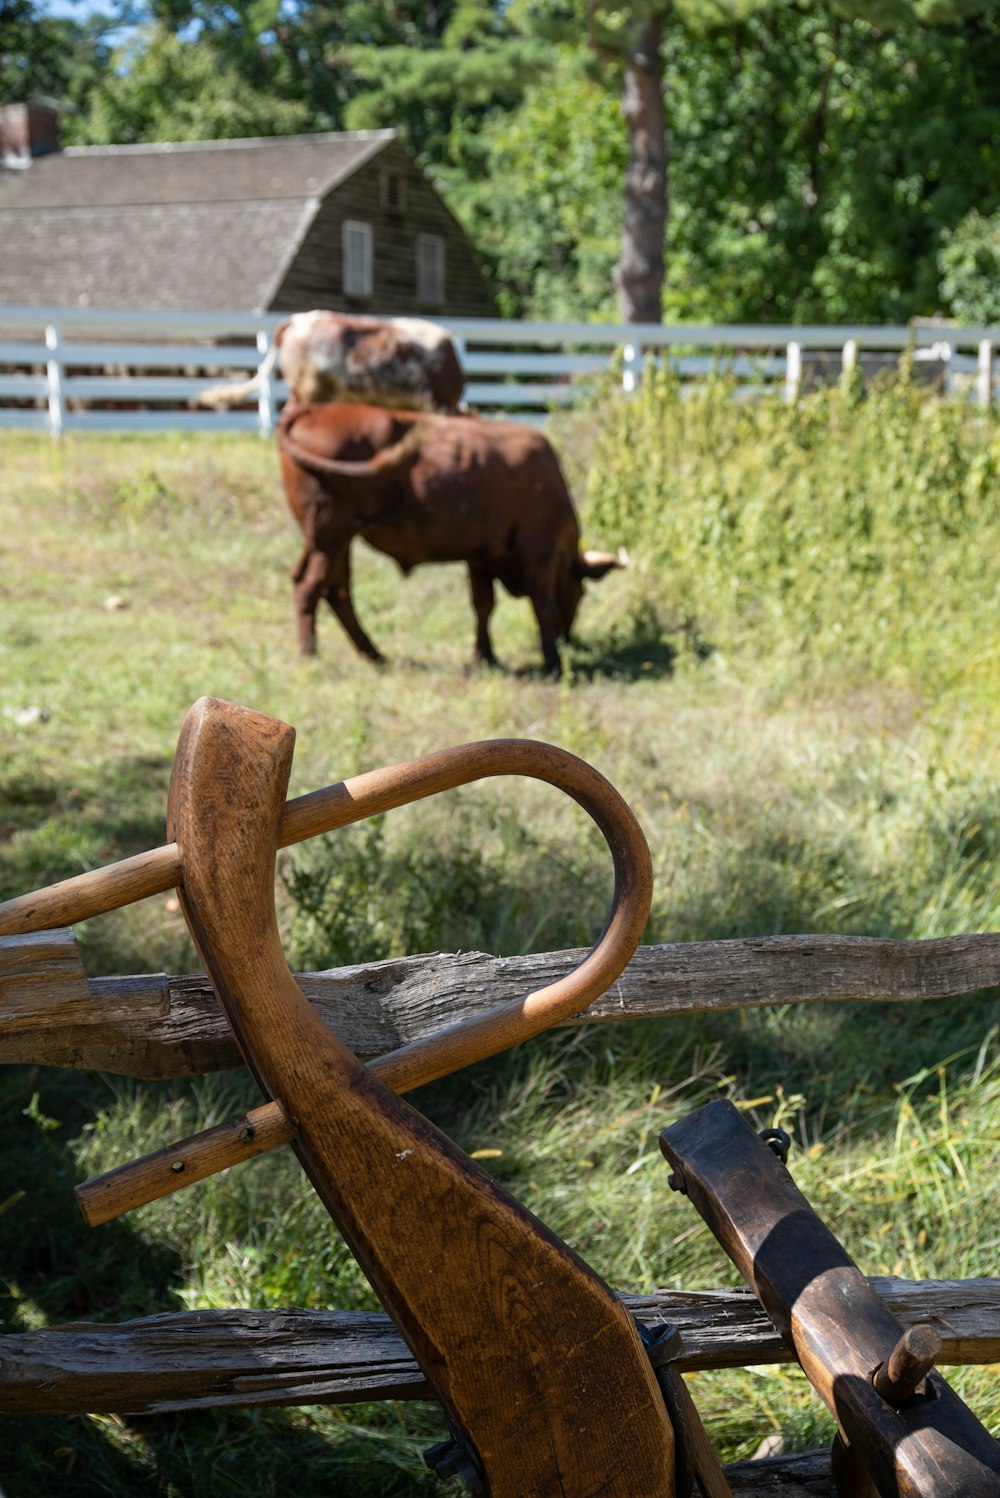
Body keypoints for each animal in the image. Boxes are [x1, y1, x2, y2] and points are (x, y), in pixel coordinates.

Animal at [276, 404, 625, 674]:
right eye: (581, 592)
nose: (569, 637)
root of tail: (315, 409)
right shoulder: (538, 550)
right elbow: (543, 605)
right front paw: (551, 661)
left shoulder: (481, 555)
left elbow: (483, 605)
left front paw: (486, 657)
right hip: (331, 536)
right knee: (310, 585)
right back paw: (310, 651)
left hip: (333, 540)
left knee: (335, 590)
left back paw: (372, 653)